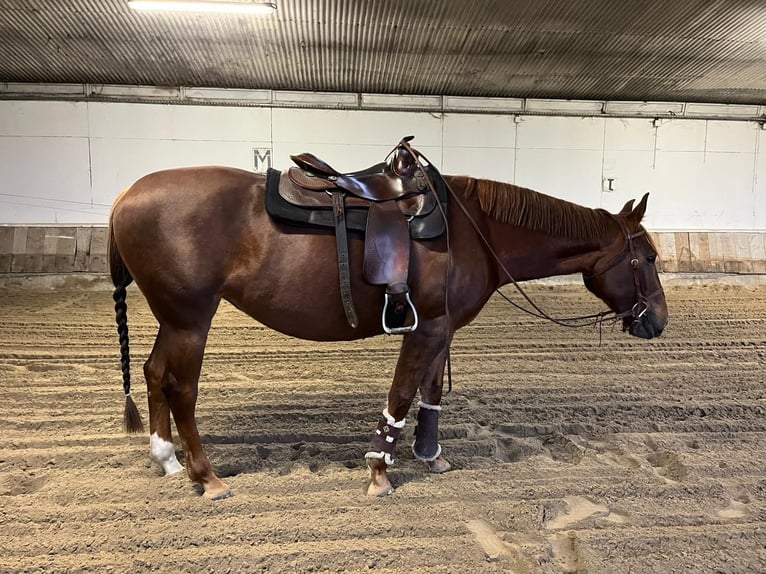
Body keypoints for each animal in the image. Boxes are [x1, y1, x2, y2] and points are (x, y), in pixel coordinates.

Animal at [108, 142, 668, 500]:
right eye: (647, 258)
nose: (658, 321)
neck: (476, 230)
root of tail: (124, 197)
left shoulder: (442, 327)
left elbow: (430, 392)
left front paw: (430, 454)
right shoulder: (426, 326)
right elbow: (401, 393)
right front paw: (380, 470)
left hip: (172, 319)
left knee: (154, 374)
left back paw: (167, 458)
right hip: (191, 319)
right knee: (180, 388)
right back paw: (206, 477)